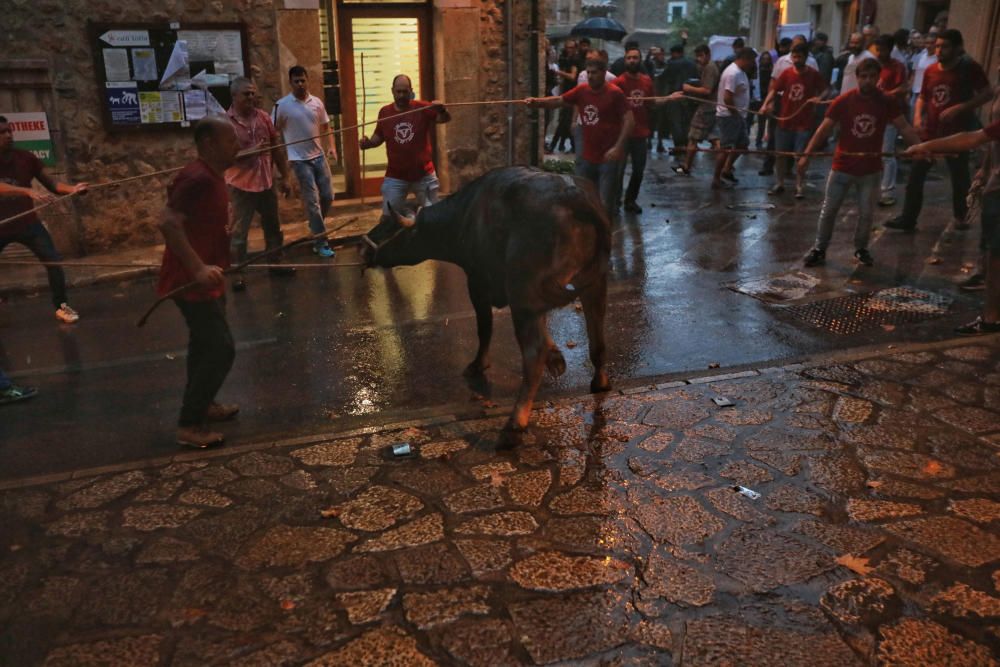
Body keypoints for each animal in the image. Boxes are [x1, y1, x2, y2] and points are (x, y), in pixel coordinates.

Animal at [360, 164, 608, 430]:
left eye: (391, 228)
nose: (368, 252)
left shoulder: (477, 282)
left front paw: (478, 364)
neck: (462, 216)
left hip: (522, 292)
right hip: (593, 283)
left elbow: (484, 328)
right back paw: (600, 383)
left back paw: (516, 420)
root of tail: (572, 196)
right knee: (597, 338)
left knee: (533, 352)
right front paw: (556, 358)